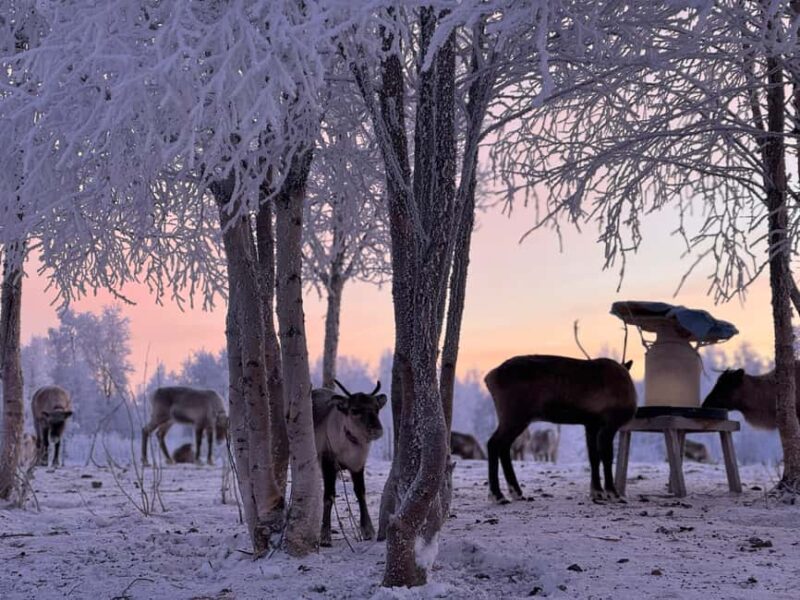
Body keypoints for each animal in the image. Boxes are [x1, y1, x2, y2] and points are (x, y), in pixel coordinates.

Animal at [313, 379, 386, 547]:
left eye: (376, 408)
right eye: (354, 410)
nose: (376, 430)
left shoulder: (358, 464)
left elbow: (361, 493)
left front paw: (368, 530)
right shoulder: (327, 461)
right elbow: (329, 496)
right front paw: (325, 536)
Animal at [485, 355, 636, 504]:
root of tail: (489, 378)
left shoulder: (591, 424)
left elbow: (594, 457)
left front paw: (597, 492)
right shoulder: (609, 423)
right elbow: (607, 456)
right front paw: (613, 493)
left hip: (513, 419)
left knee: (503, 447)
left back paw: (516, 493)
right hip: (514, 416)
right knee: (494, 443)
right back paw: (498, 495)